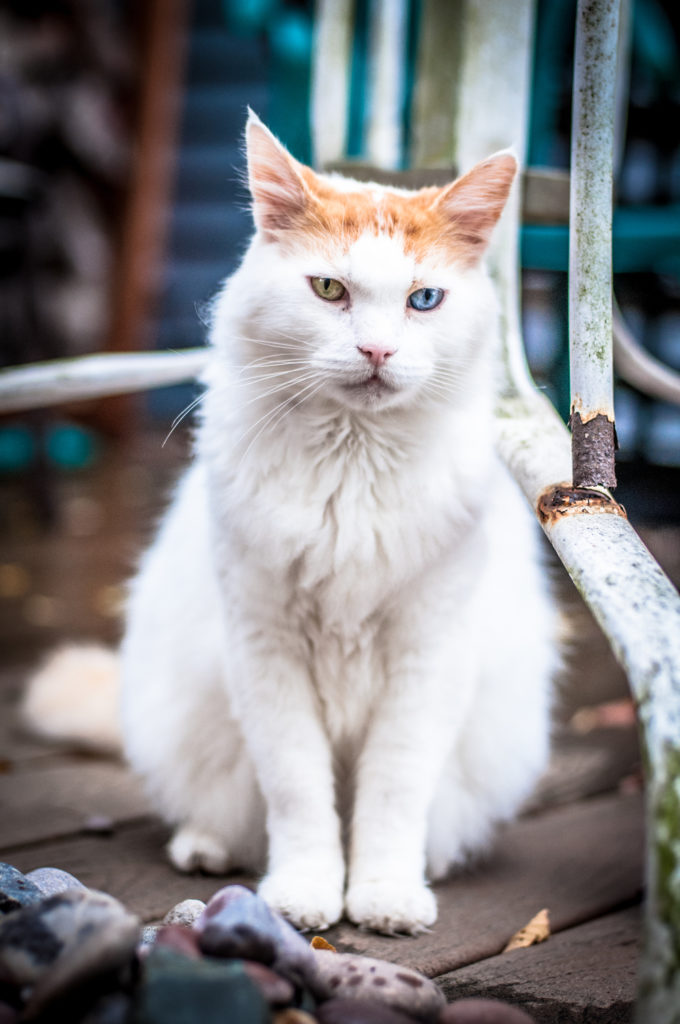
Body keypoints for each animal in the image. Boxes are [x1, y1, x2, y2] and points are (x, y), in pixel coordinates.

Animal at [23, 112, 561, 937]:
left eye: (424, 300)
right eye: (329, 290)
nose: (377, 350)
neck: (352, 463)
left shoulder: (427, 653)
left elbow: (393, 791)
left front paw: (384, 893)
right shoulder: (265, 647)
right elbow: (299, 789)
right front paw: (306, 891)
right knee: (227, 811)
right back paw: (207, 848)